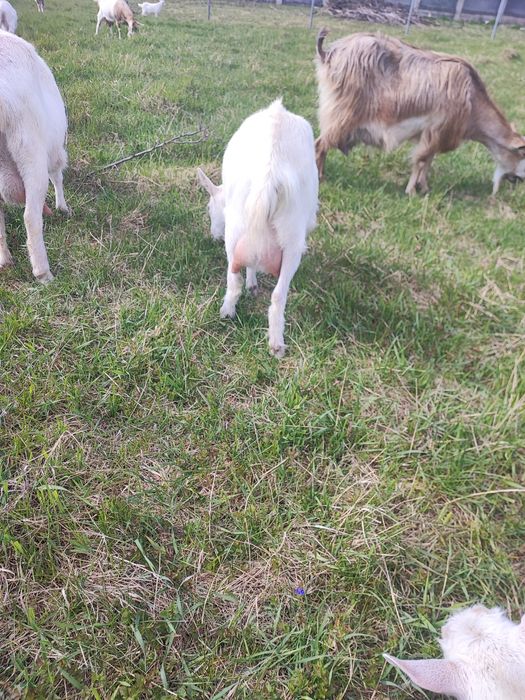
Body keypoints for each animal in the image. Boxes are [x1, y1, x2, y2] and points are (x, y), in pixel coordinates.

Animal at [0, 32, 68, 282]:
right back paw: (43, 273)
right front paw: (62, 207)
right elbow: (58, 177)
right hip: (31, 151)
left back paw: (5, 260)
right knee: (31, 217)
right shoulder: (56, 152)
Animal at [197, 99, 318, 358]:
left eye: (209, 208)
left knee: (234, 279)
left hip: (237, 227)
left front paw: (251, 284)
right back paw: (276, 343)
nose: (213, 236)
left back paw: (228, 312)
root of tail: (269, 176)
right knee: (279, 294)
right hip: (292, 237)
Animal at [315, 30, 525, 195]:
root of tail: (329, 53)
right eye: (522, 155)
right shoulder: (437, 131)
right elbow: (420, 161)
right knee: (320, 144)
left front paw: (424, 188)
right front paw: (412, 192)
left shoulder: (431, 135)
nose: (519, 181)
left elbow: (427, 161)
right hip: (342, 116)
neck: (472, 102)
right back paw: (321, 178)